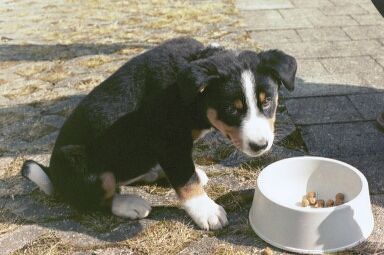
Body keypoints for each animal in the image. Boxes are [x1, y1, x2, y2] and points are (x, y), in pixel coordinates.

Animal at [21, 37, 296, 231]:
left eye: (267, 101)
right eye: (231, 109)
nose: (260, 145)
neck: (191, 95)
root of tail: (53, 176)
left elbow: (186, 172)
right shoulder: (169, 141)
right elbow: (186, 180)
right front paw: (206, 211)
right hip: (78, 160)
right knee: (96, 199)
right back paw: (130, 204)